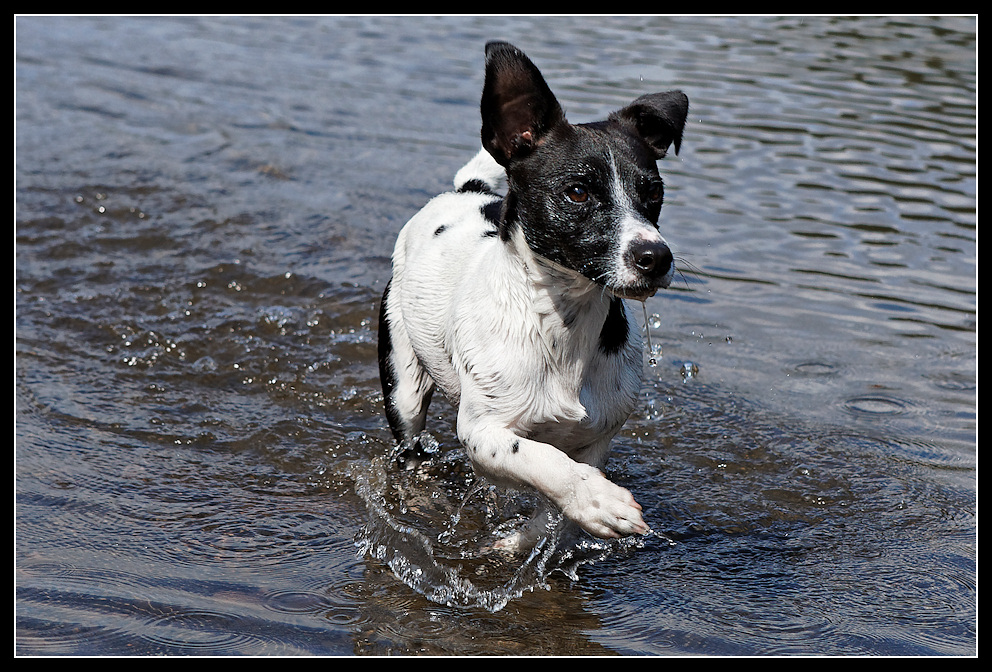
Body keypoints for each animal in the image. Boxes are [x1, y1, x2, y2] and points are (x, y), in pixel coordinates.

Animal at [376, 42, 684, 552]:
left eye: (653, 192)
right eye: (577, 192)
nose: (655, 256)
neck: (561, 327)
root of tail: (467, 192)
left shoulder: (597, 437)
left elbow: (557, 512)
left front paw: (525, 538)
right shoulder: (483, 432)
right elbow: (541, 460)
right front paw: (597, 500)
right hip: (403, 382)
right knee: (409, 449)